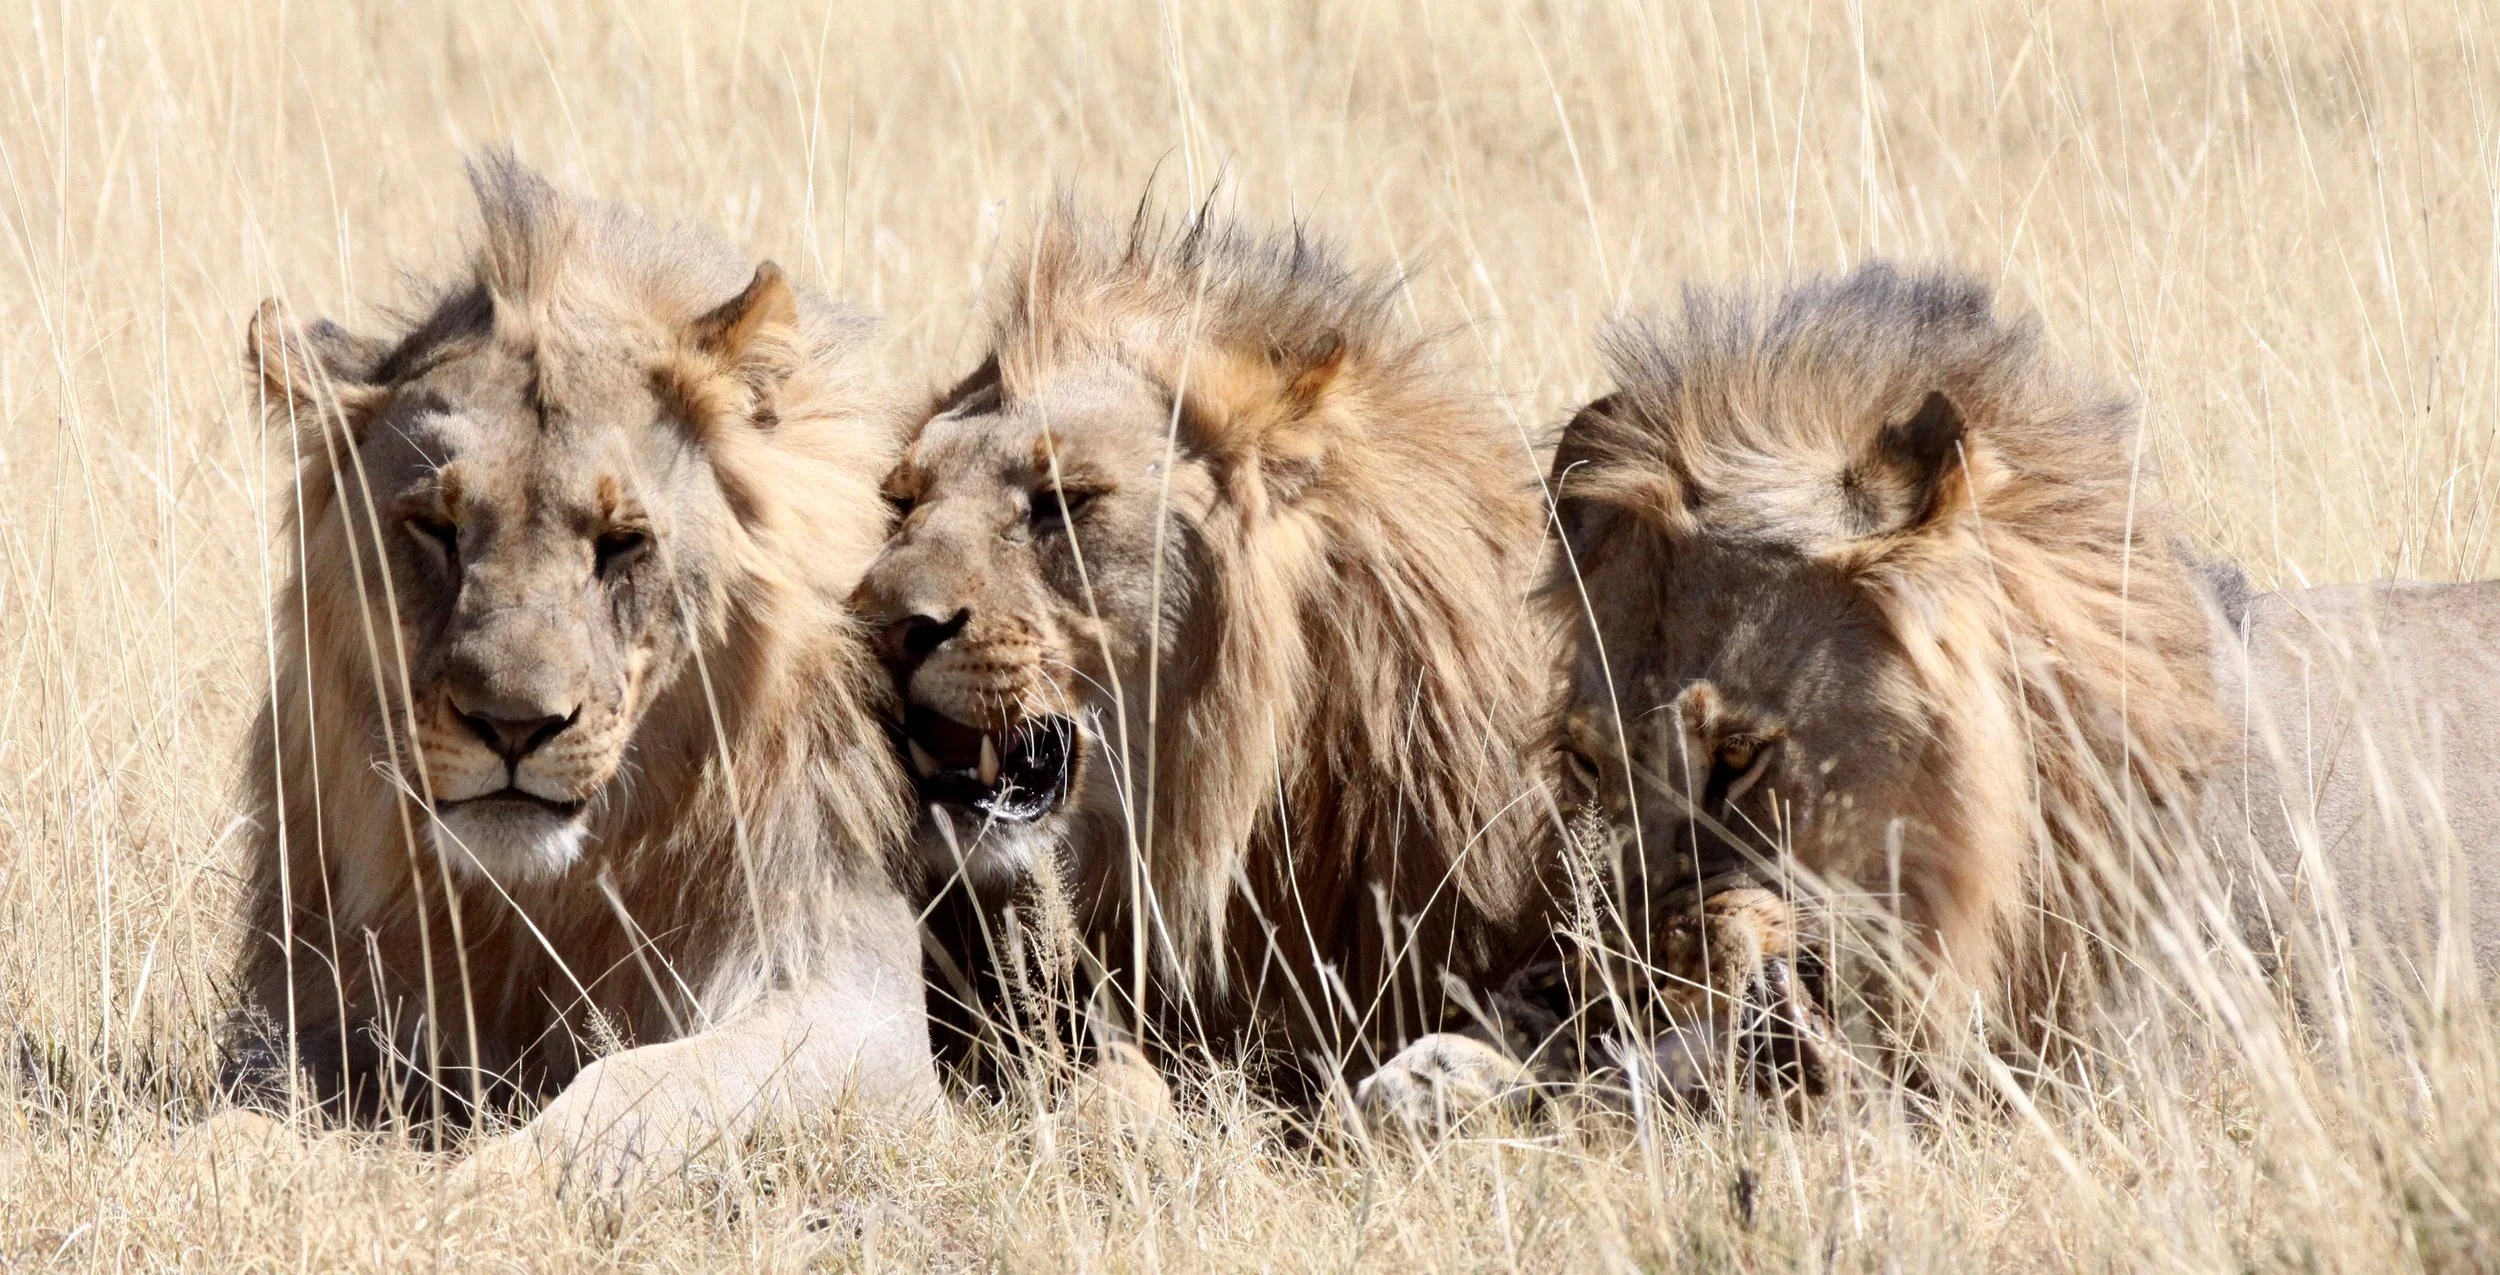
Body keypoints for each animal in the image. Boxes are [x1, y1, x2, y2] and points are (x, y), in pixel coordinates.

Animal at [219, 155, 941, 1182]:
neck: (543, 898)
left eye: (622, 542)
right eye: (434, 526)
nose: (513, 725)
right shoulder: (329, 1003)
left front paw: (489, 1181)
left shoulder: (867, 1005)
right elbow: (243, 1102)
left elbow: (639, 1080)